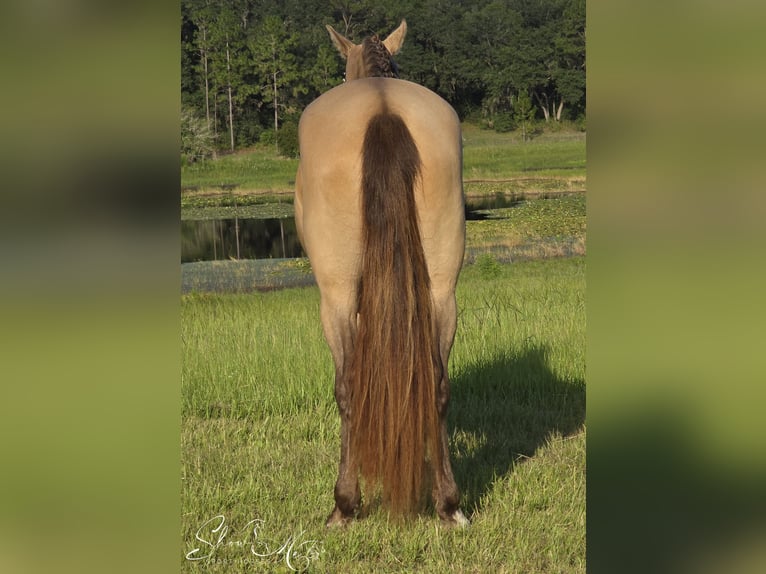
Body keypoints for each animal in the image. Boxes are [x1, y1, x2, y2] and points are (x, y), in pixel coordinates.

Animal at [294, 19, 469, 528]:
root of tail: (383, 109)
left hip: (335, 296)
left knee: (348, 388)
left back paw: (343, 505)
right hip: (442, 292)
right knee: (437, 384)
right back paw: (449, 504)